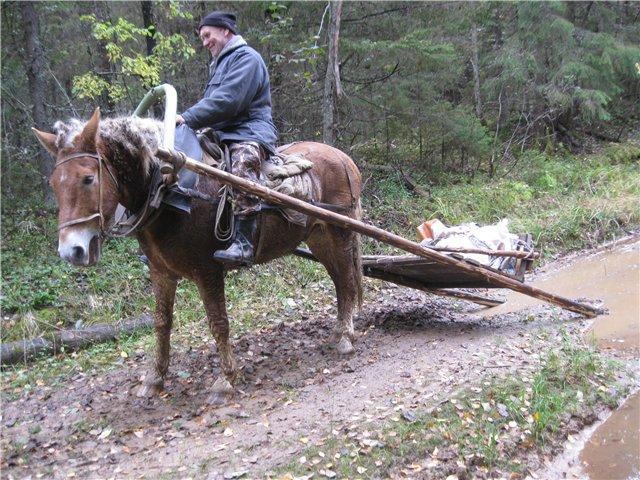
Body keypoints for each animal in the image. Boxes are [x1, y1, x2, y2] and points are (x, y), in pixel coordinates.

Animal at [35, 109, 362, 402]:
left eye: (88, 178)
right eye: (53, 183)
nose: (72, 251)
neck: (169, 188)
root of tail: (344, 159)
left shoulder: (207, 271)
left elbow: (218, 323)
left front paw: (226, 380)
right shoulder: (161, 272)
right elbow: (161, 323)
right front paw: (154, 378)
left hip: (340, 233)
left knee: (347, 282)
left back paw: (347, 337)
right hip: (319, 238)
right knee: (339, 282)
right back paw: (339, 331)